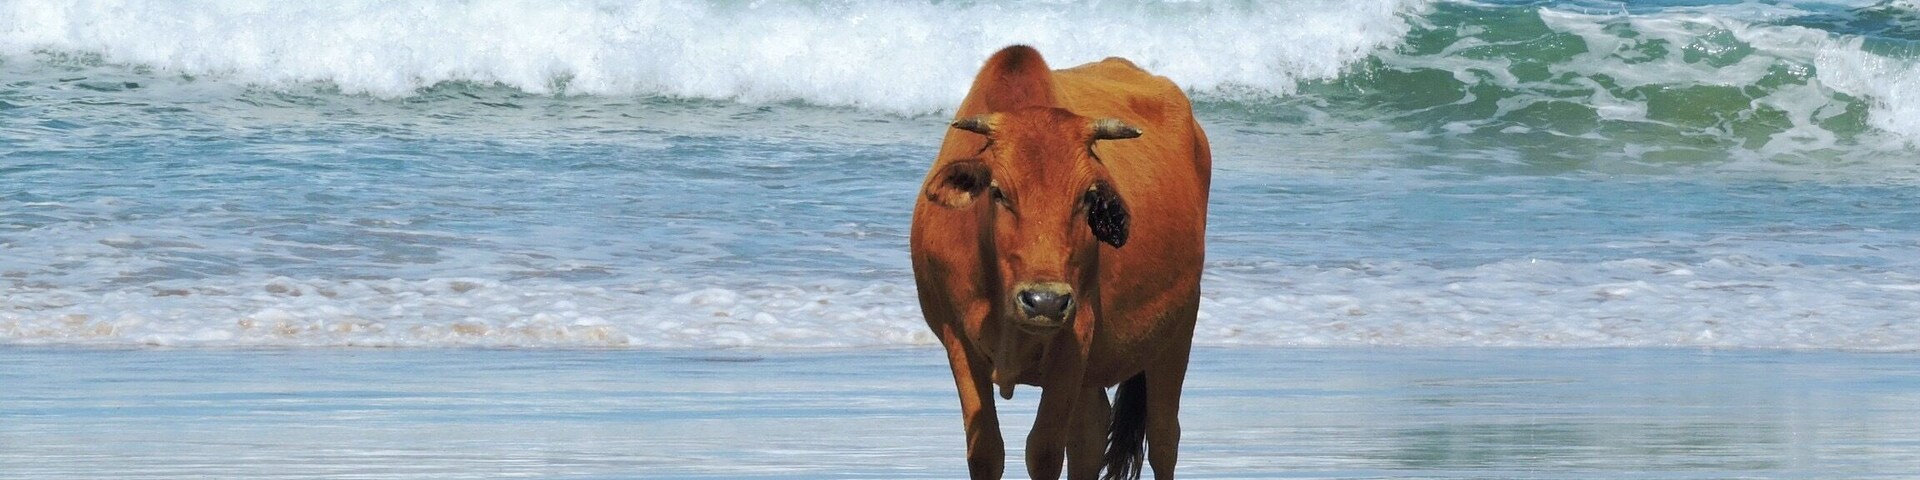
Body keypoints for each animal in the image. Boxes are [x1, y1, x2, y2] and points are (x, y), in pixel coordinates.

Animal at [910, 45, 1212, 480]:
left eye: (1087, 197)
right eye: (998, 192)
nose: (1045, 302)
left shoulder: (1075, 337)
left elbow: (1044, 450)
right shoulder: (958, 340)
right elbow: (985, 451)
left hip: (1178, 329)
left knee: (1163, 437)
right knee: (1090, 433)